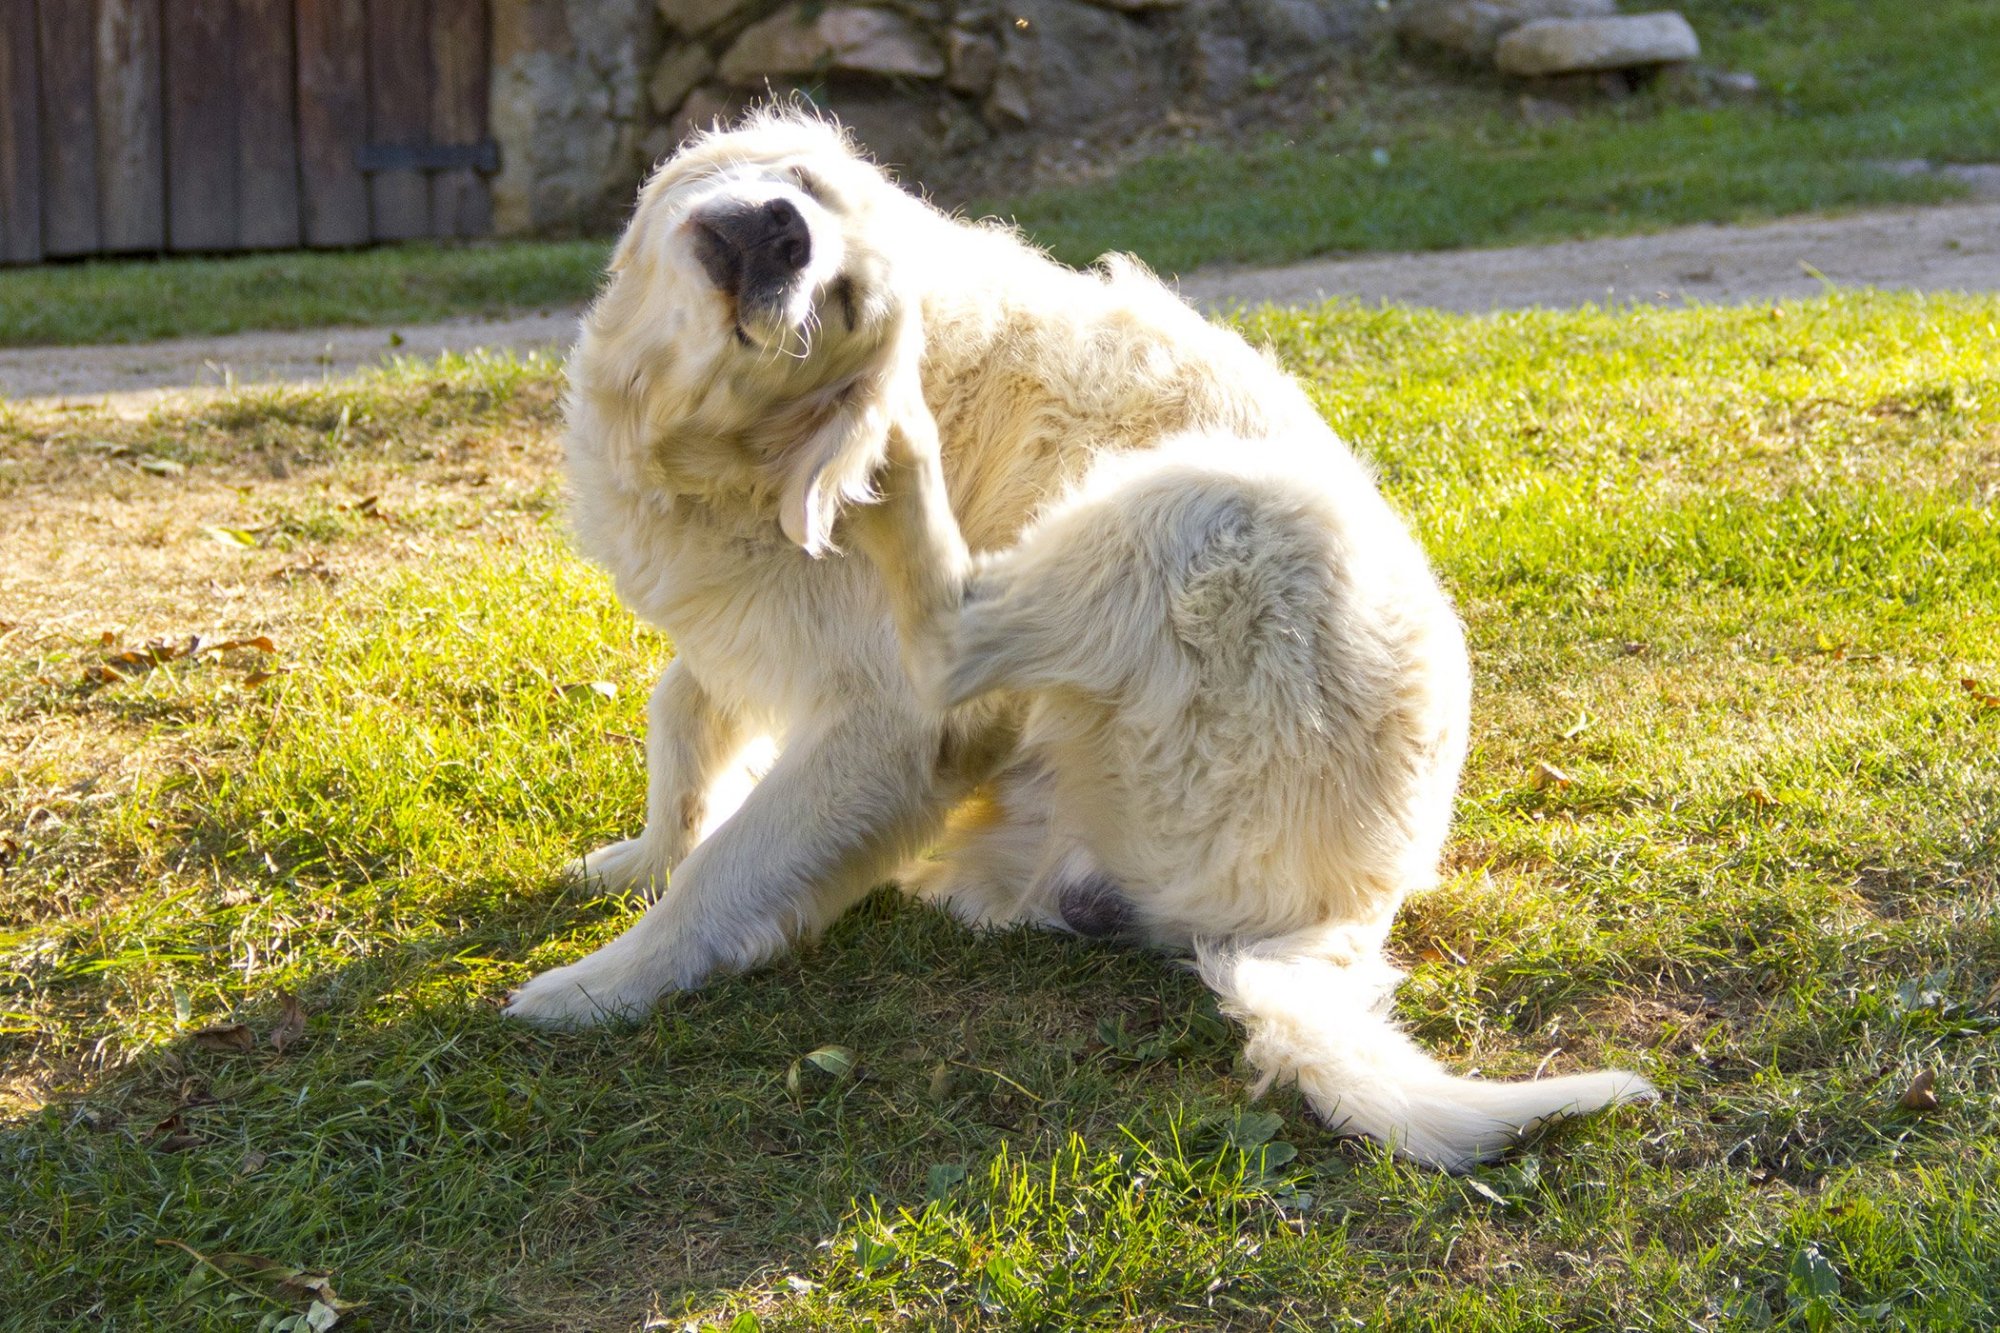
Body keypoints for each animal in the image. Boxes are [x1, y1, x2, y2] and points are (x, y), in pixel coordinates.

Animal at [504, 109, 1656, 1168]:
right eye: (802, 187)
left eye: (844, 305)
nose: (789, 231)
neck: (715, 450)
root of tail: (1342, 916)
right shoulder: (744, 623)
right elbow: (682, 714)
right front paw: (643, 855)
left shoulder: (883, 723)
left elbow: (727, 866)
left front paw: (601, 983)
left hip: (1218, 502)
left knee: (957, 635)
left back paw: (903, 464)